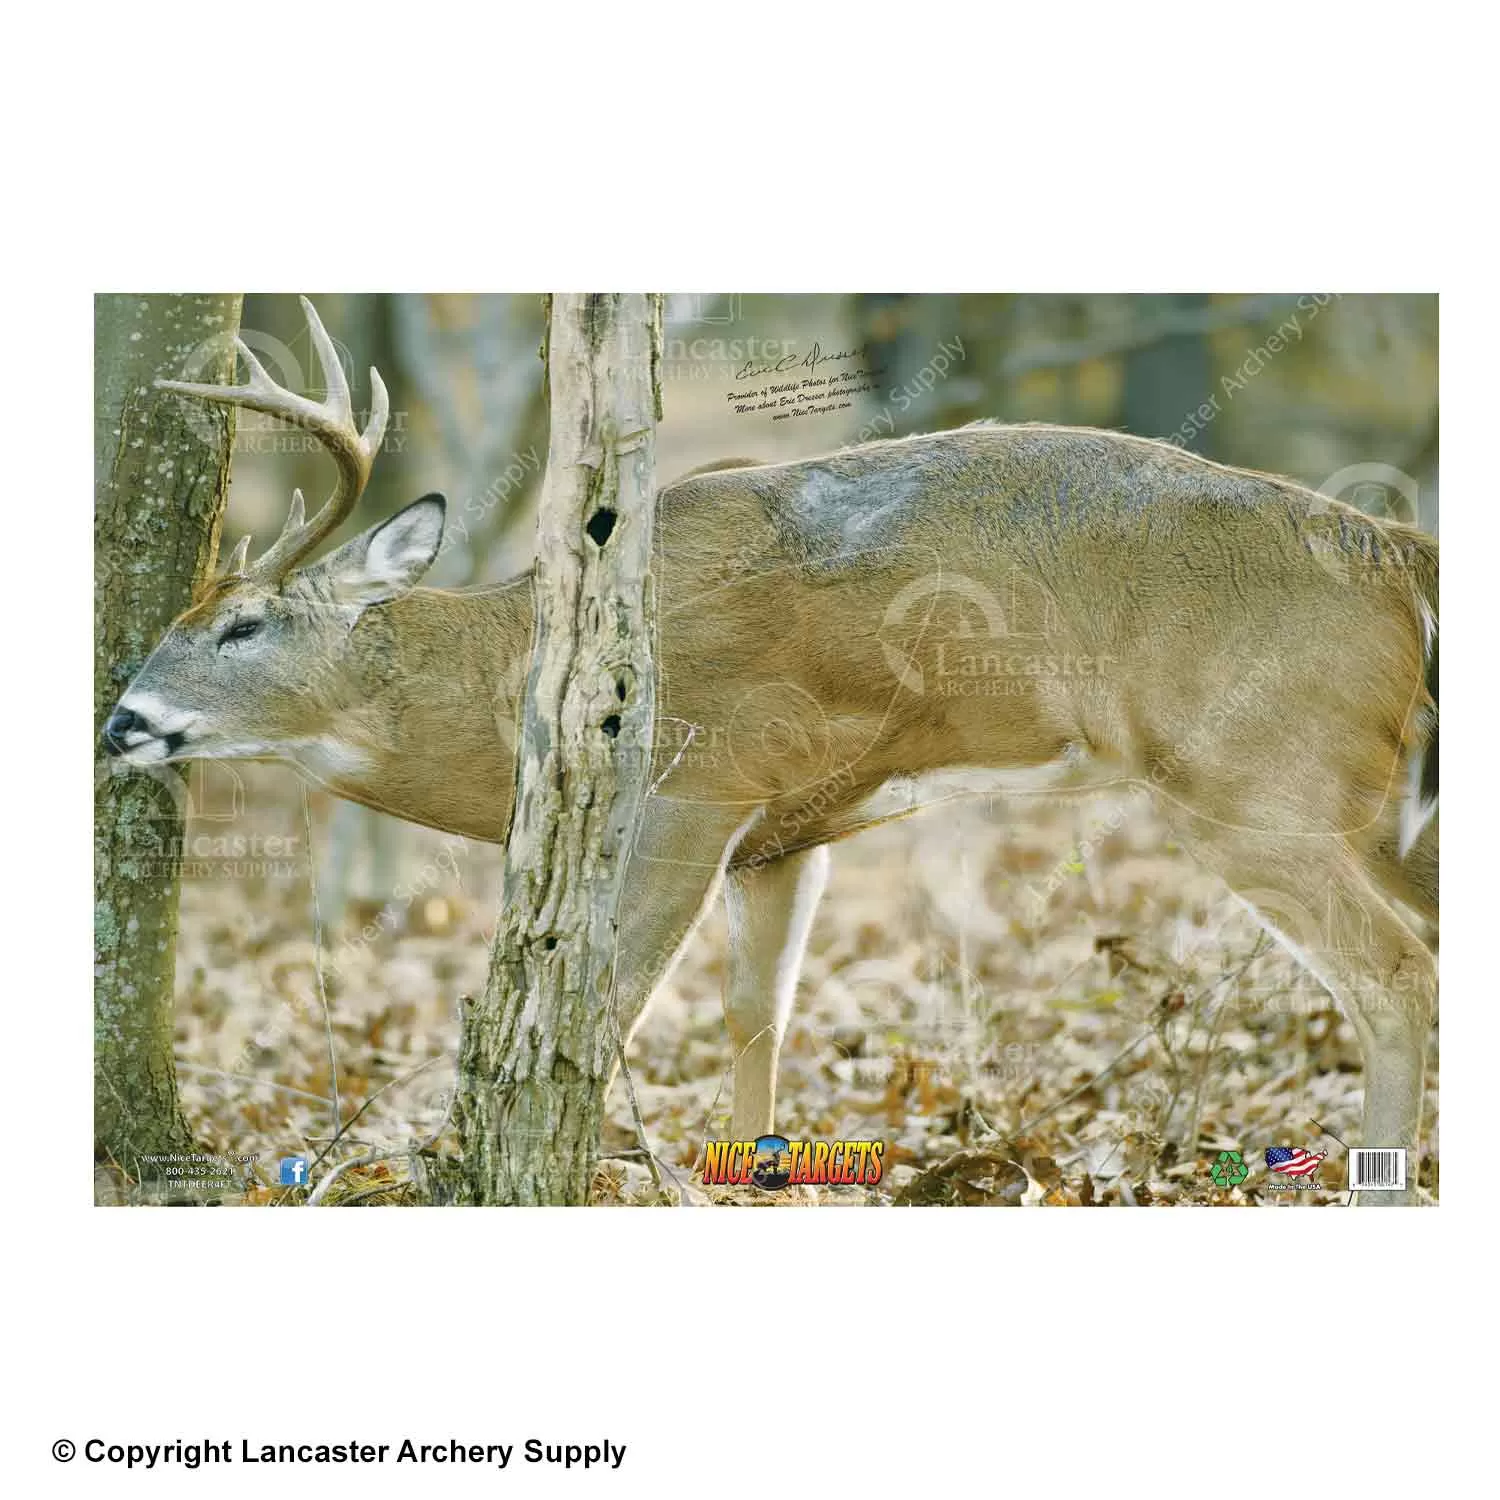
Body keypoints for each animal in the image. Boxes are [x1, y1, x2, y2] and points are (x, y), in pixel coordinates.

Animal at [103, 299, 1438, 1203]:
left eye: (241, 624)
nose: (121, 720)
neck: (521, 665)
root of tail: (1393, 552)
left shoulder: (702, 782)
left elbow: (615, 1004)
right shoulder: (792, 832)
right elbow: (761, 1015)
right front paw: (752, 1175)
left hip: (1257, 784)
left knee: (1395, 978)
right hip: (1385, 805)